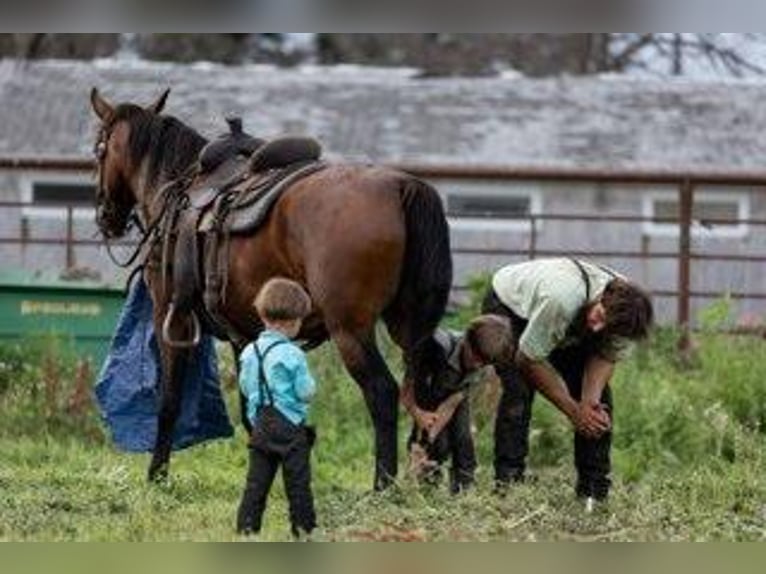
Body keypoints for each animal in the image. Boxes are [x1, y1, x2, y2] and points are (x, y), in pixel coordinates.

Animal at [89, 88, 453, 489]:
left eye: (99, 149)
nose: (105, 217)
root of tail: (401, 186)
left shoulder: (172, 319)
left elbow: (169, 401)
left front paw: (157, 475)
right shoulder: (246, 334)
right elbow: (255, 409)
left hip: (350, 330)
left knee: (383, 393)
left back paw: (383, 486)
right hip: (409, 327)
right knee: (424, 391)